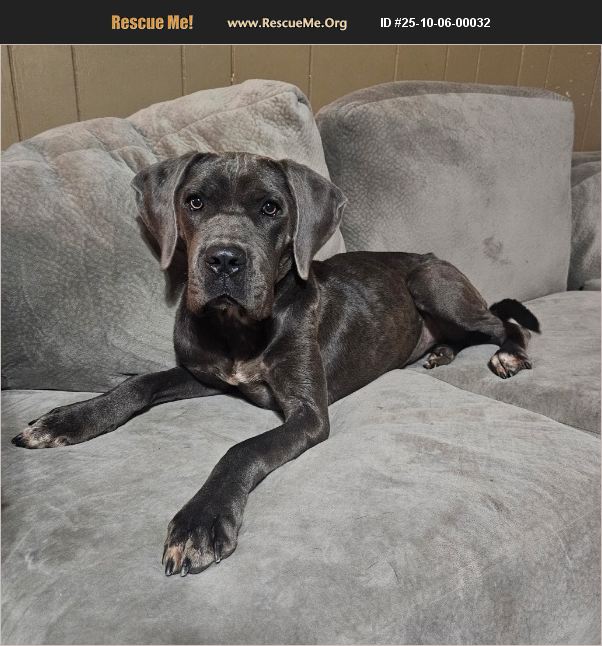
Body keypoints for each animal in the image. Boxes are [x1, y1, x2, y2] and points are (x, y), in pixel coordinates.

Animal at [12, 152, 540, 577]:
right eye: (194, 202)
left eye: (271, 208)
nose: (224, 260)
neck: (238, 327)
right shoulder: (207, 375)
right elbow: (138, 384)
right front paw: (68, 419)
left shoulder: (308, 412)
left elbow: (242, 449)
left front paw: (200, 522)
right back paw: (439, 353)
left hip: (434, 283)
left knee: (501, 323)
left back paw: (510, 356)